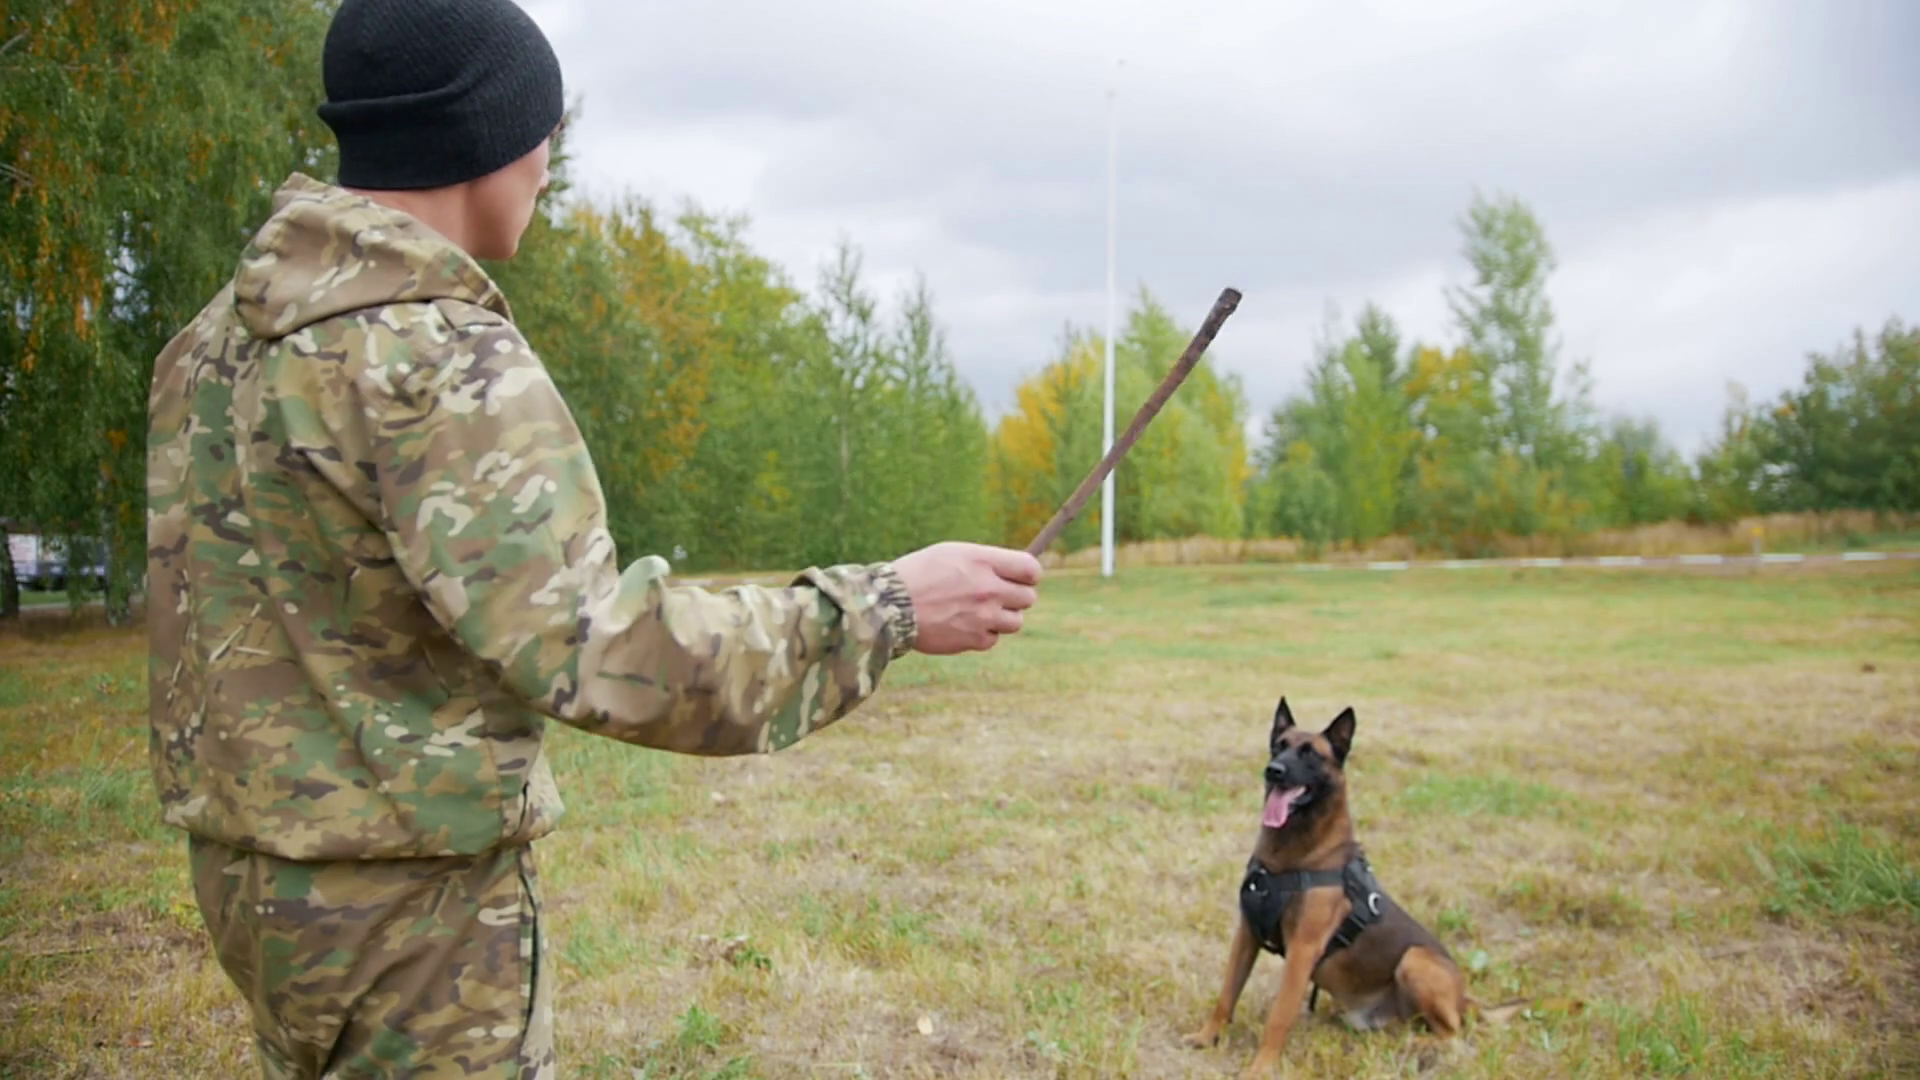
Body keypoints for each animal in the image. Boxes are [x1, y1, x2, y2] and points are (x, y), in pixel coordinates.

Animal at [1182, 697, 1467, 1075]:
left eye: (1311, 754)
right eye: (1279, 746)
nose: (1273, 770)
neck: (1290, 855)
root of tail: (1467, 999)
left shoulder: (1302, 951)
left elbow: (1279, 1016)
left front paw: (1261, 1068)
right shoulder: (1247, 934)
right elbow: (1227, 994)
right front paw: (1207, 1036)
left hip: (1415, 959)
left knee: (1454, 1037)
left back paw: (1418, 1046)